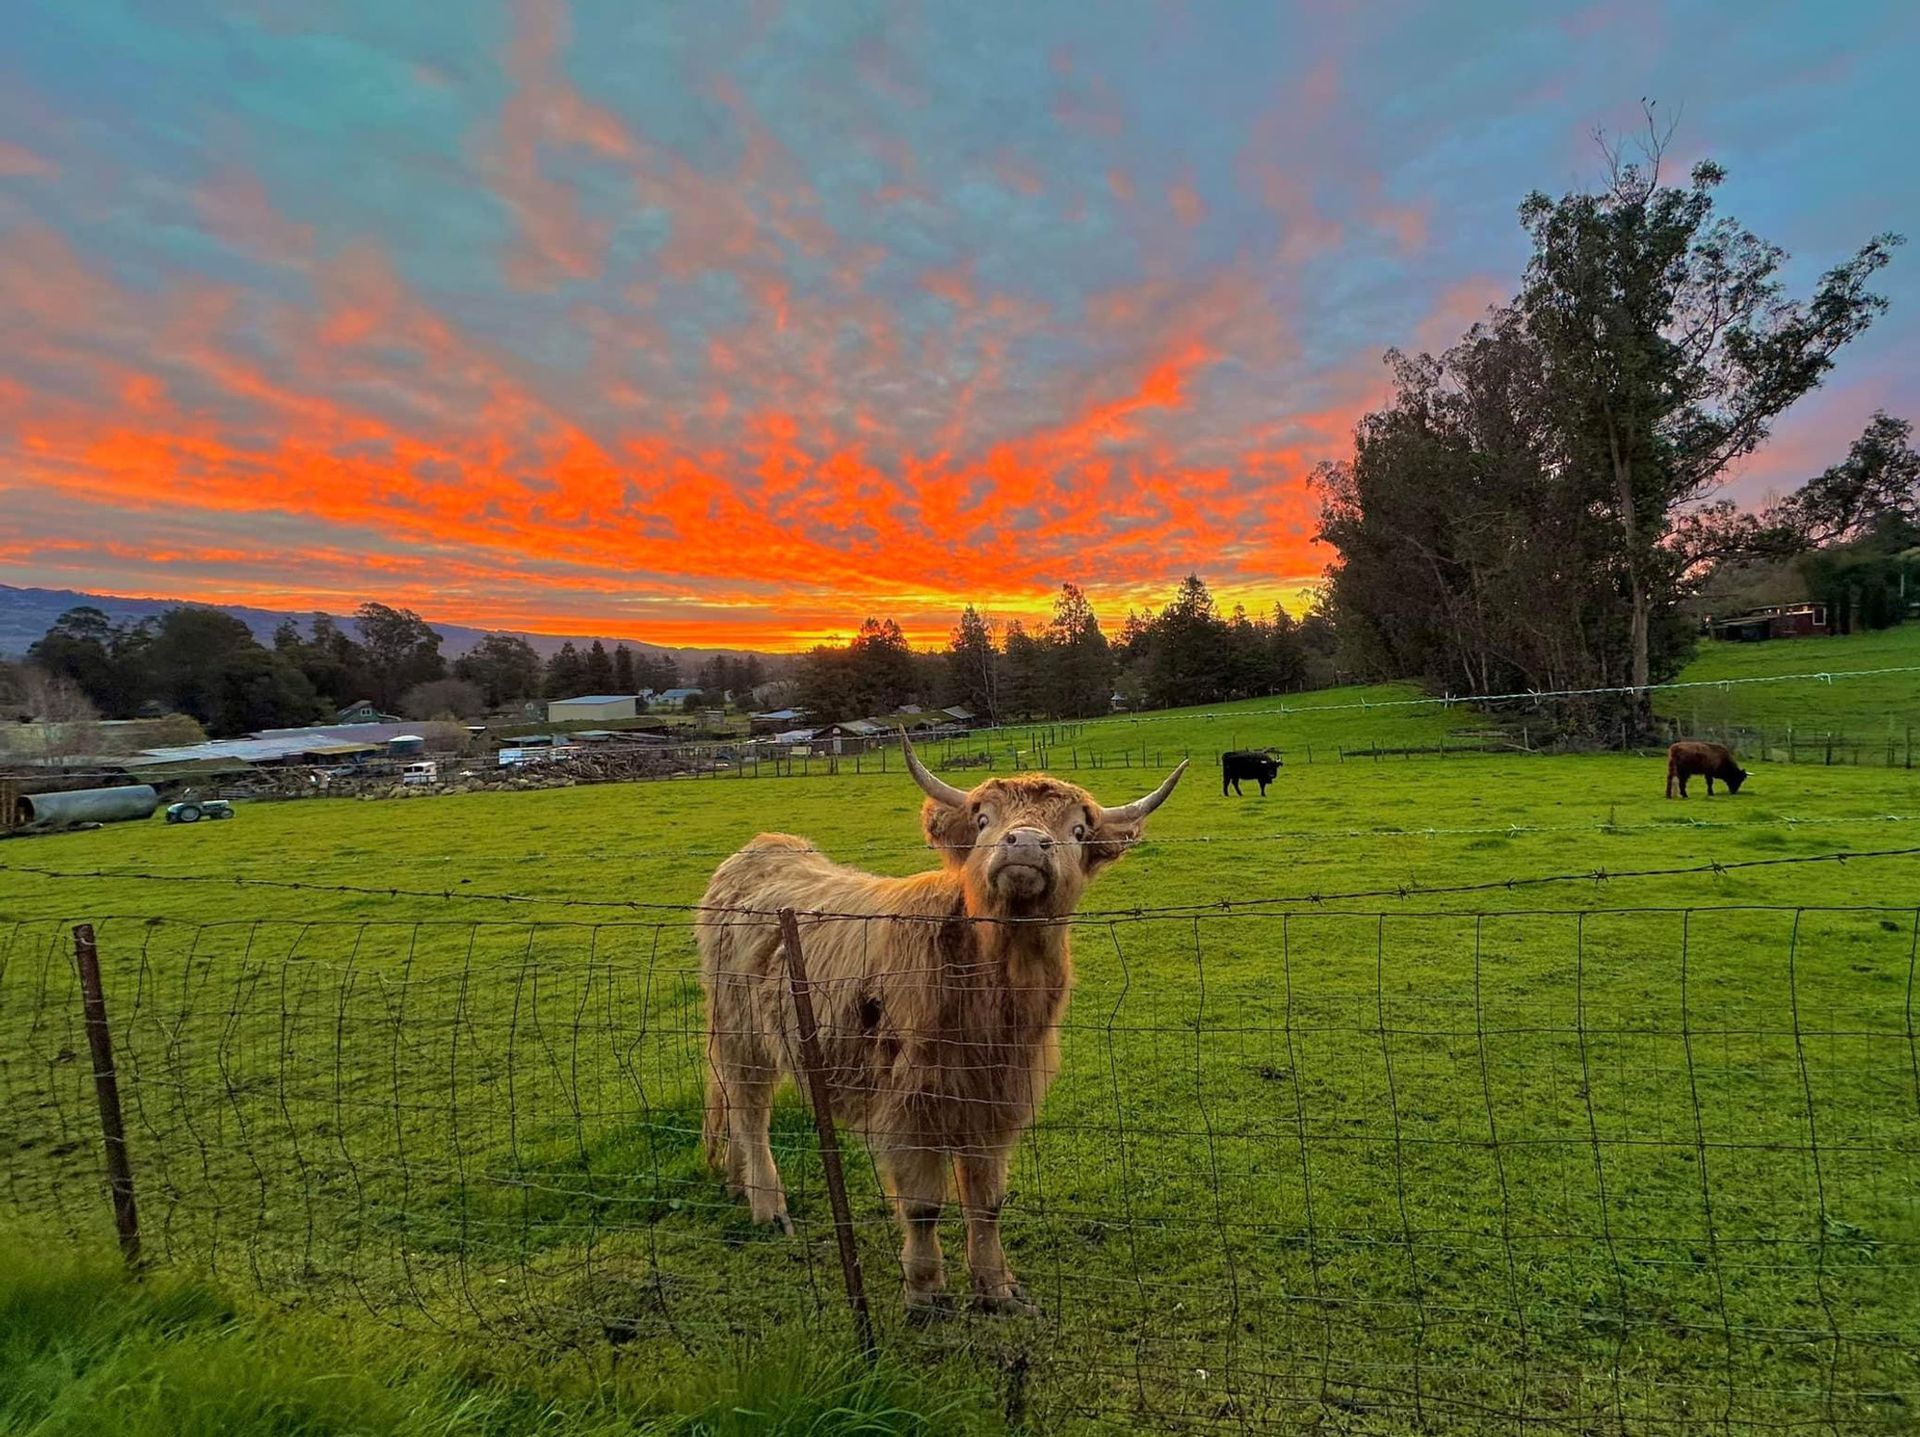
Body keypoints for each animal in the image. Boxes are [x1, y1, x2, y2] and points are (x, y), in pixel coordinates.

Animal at [697, 734, 1186, 1318]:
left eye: (1078, 830)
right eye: (984, 819)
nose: (1026, 844)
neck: (993, 992)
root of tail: (763, 847)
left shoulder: (997, 1099)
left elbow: (987, 1200)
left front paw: (998, 1288)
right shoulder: (911, 1105)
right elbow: (924, 1205)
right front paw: (926, 1291)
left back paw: (736, 1184)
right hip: (740, 1032)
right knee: (750, 1111)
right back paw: (769, 1207)